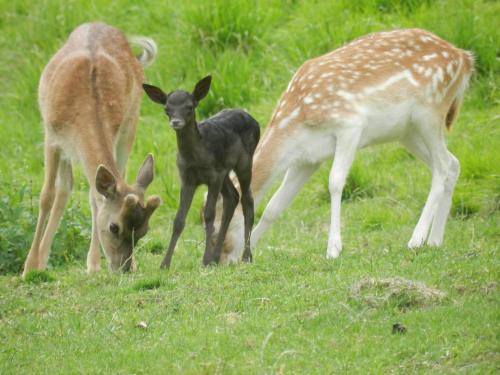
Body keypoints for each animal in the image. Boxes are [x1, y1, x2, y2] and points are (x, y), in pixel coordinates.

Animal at [23, 23, 160, 276]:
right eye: (114, 227)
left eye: (144, 231)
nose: (123, 268)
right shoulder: (51, 136)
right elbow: (46, 195)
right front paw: (29, 268)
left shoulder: (116, 133)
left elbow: (95, 199)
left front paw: (94, 265)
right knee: (64, 188)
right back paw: (42, 260)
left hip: (130, 125)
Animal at [206, 27, 472, 262]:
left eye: (216, 221)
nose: (218, 260)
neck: (296, 120)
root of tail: (465, 58)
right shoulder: (307, 159)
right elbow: (275, 205)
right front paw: (250, 253)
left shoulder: (350, 125)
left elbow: (334, 182)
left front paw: (333, 249)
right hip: (406, 131)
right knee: (453, 163)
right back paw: (435, 240)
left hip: (430, 110)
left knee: (442, 167)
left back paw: (416, 239)